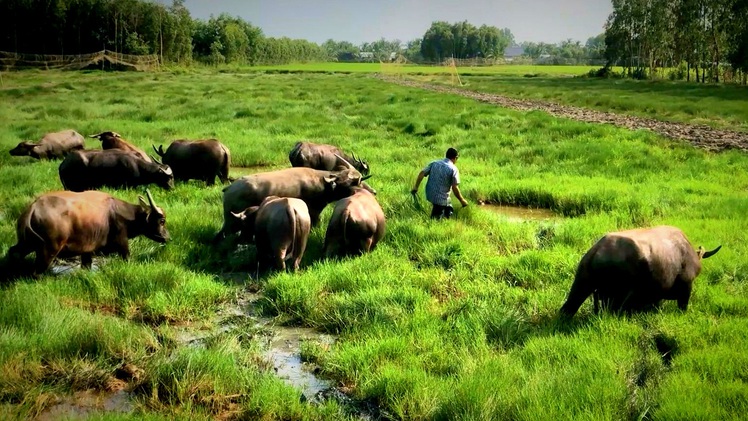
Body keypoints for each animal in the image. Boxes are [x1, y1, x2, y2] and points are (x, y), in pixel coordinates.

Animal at [6, 189, 169, 276]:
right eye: (162, 221)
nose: (168, 237)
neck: (117, 211)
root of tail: (33, 208)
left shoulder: (87, 251)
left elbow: (86, 265)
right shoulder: (122, 242)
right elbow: (127, 257)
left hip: (26, 242)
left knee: (14, 252)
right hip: (49, 248)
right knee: (37, 271)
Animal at [216, 158, 374, 243]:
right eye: (357, 181)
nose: (373, 192)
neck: (322, 183)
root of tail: (230, 187)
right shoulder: (314, 212)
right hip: (230, 222)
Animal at [560, 225, 720, 316]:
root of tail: (597, 250)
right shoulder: (686, 285)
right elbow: (683, 305)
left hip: (582, 281)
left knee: (570, 306)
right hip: (619, 292)